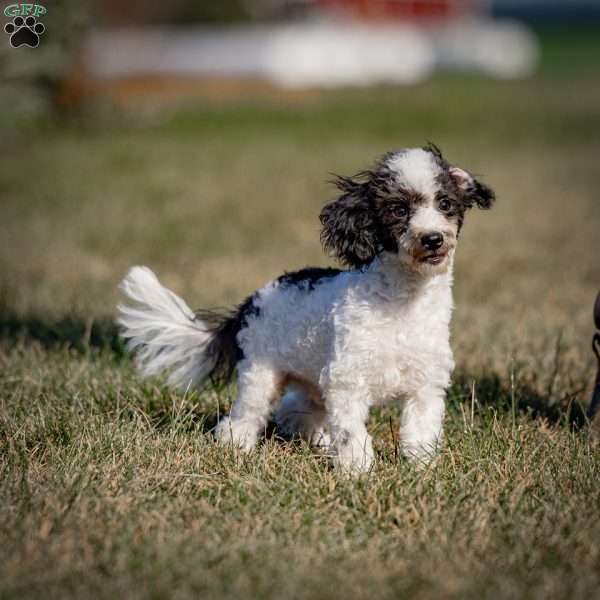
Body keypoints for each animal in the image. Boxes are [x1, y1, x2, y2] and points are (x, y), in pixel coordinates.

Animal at [117, 145, 492, 474]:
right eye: (399, 209)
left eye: (446, 204)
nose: (432, 239)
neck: (402, 303)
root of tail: (250, 303)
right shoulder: (347, 382)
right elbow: (352, 433)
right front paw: (356, 471)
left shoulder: (425, 386)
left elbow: (420, 432)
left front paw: (422, 469)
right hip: (261, 375)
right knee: (245, 416)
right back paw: (237, 445)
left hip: (312, 377)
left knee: (295, 410)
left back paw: (318, 440)